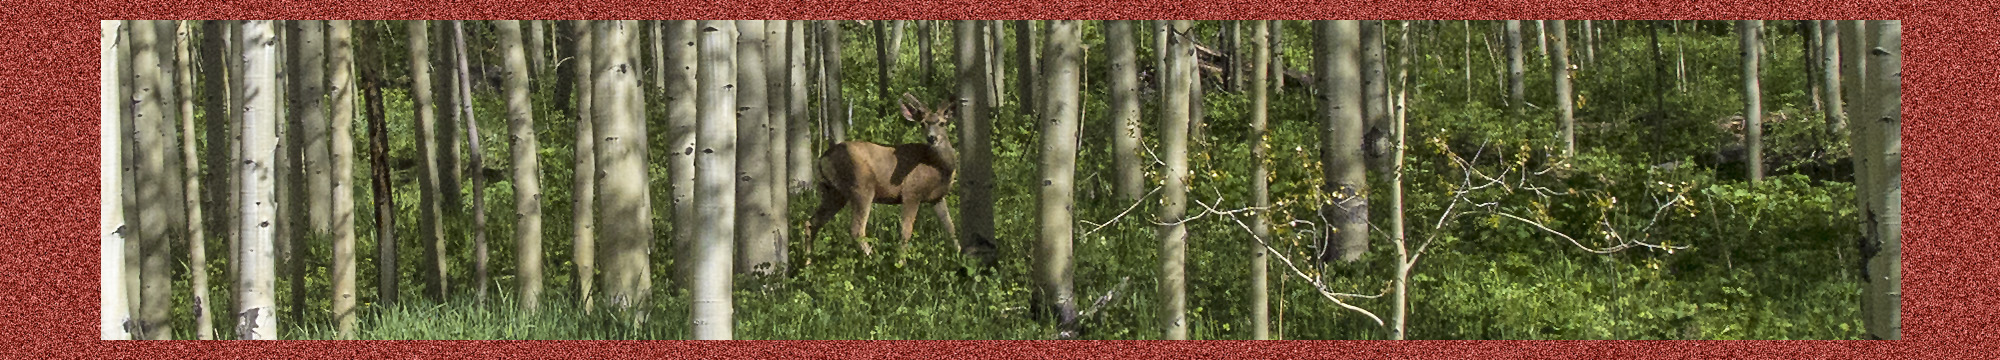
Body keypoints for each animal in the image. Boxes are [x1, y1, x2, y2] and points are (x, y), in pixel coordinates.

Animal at [808, 92, 972, 268]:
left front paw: (961, 255)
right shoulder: (911, 192)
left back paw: (807, 262)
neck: (938, 168)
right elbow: (906, 230)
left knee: (812, 222)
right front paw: (901, 263)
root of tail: (822, 158)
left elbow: (951, 228)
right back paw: (876, 261)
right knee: (856, 230)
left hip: (833, 192)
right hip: (861, 187)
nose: (932, 138)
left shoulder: (937, 197)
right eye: (922, 124)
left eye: (942, 123)